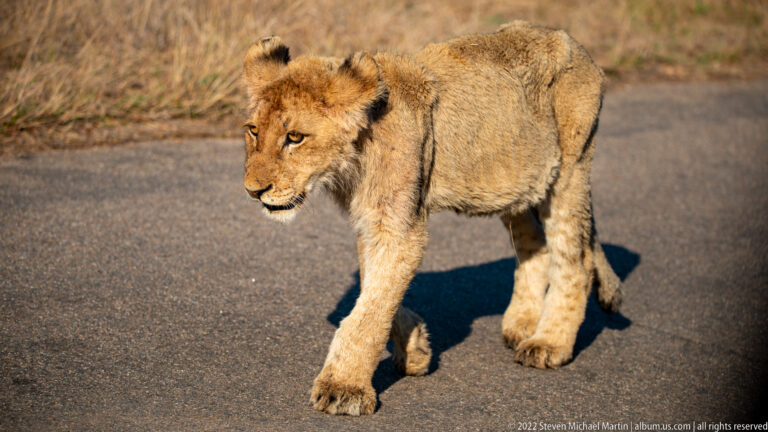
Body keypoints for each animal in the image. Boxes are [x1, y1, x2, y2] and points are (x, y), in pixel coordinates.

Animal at [241, 21, 623, 416]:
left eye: (295, 137)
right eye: (253, 130)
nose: (253, 190)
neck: (352, 159)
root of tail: (576, 44)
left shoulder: (399, 228)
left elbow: (370, 310)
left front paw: (343, 388)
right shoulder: (373, 221)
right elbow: (374, 288)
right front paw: (416, 348)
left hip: (570, 168)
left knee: (574, 259)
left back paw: (549, 343)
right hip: (517, 181)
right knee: (536, 246)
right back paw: (521, 323)